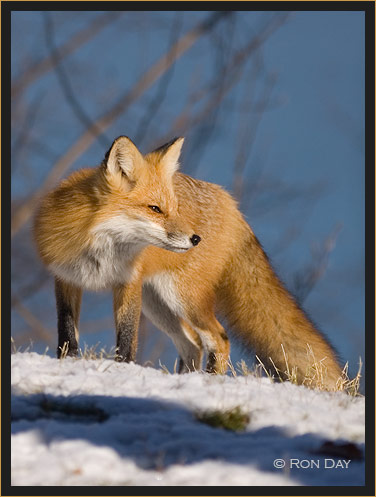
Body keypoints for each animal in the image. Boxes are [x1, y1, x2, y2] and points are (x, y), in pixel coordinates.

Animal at [34, 135, 344, 388]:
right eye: (155, 209)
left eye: (174, 209)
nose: (196, 239)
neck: (101, 253)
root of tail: (231, 204)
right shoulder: (66, 278)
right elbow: (66, 333)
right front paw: (69, 363)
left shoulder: (128, 283)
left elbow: (126, 339)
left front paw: (122, 372)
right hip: (158, 304)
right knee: (192, 344)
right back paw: (185, 380)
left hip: (183, 297)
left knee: (218, 338)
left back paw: (210, 382)